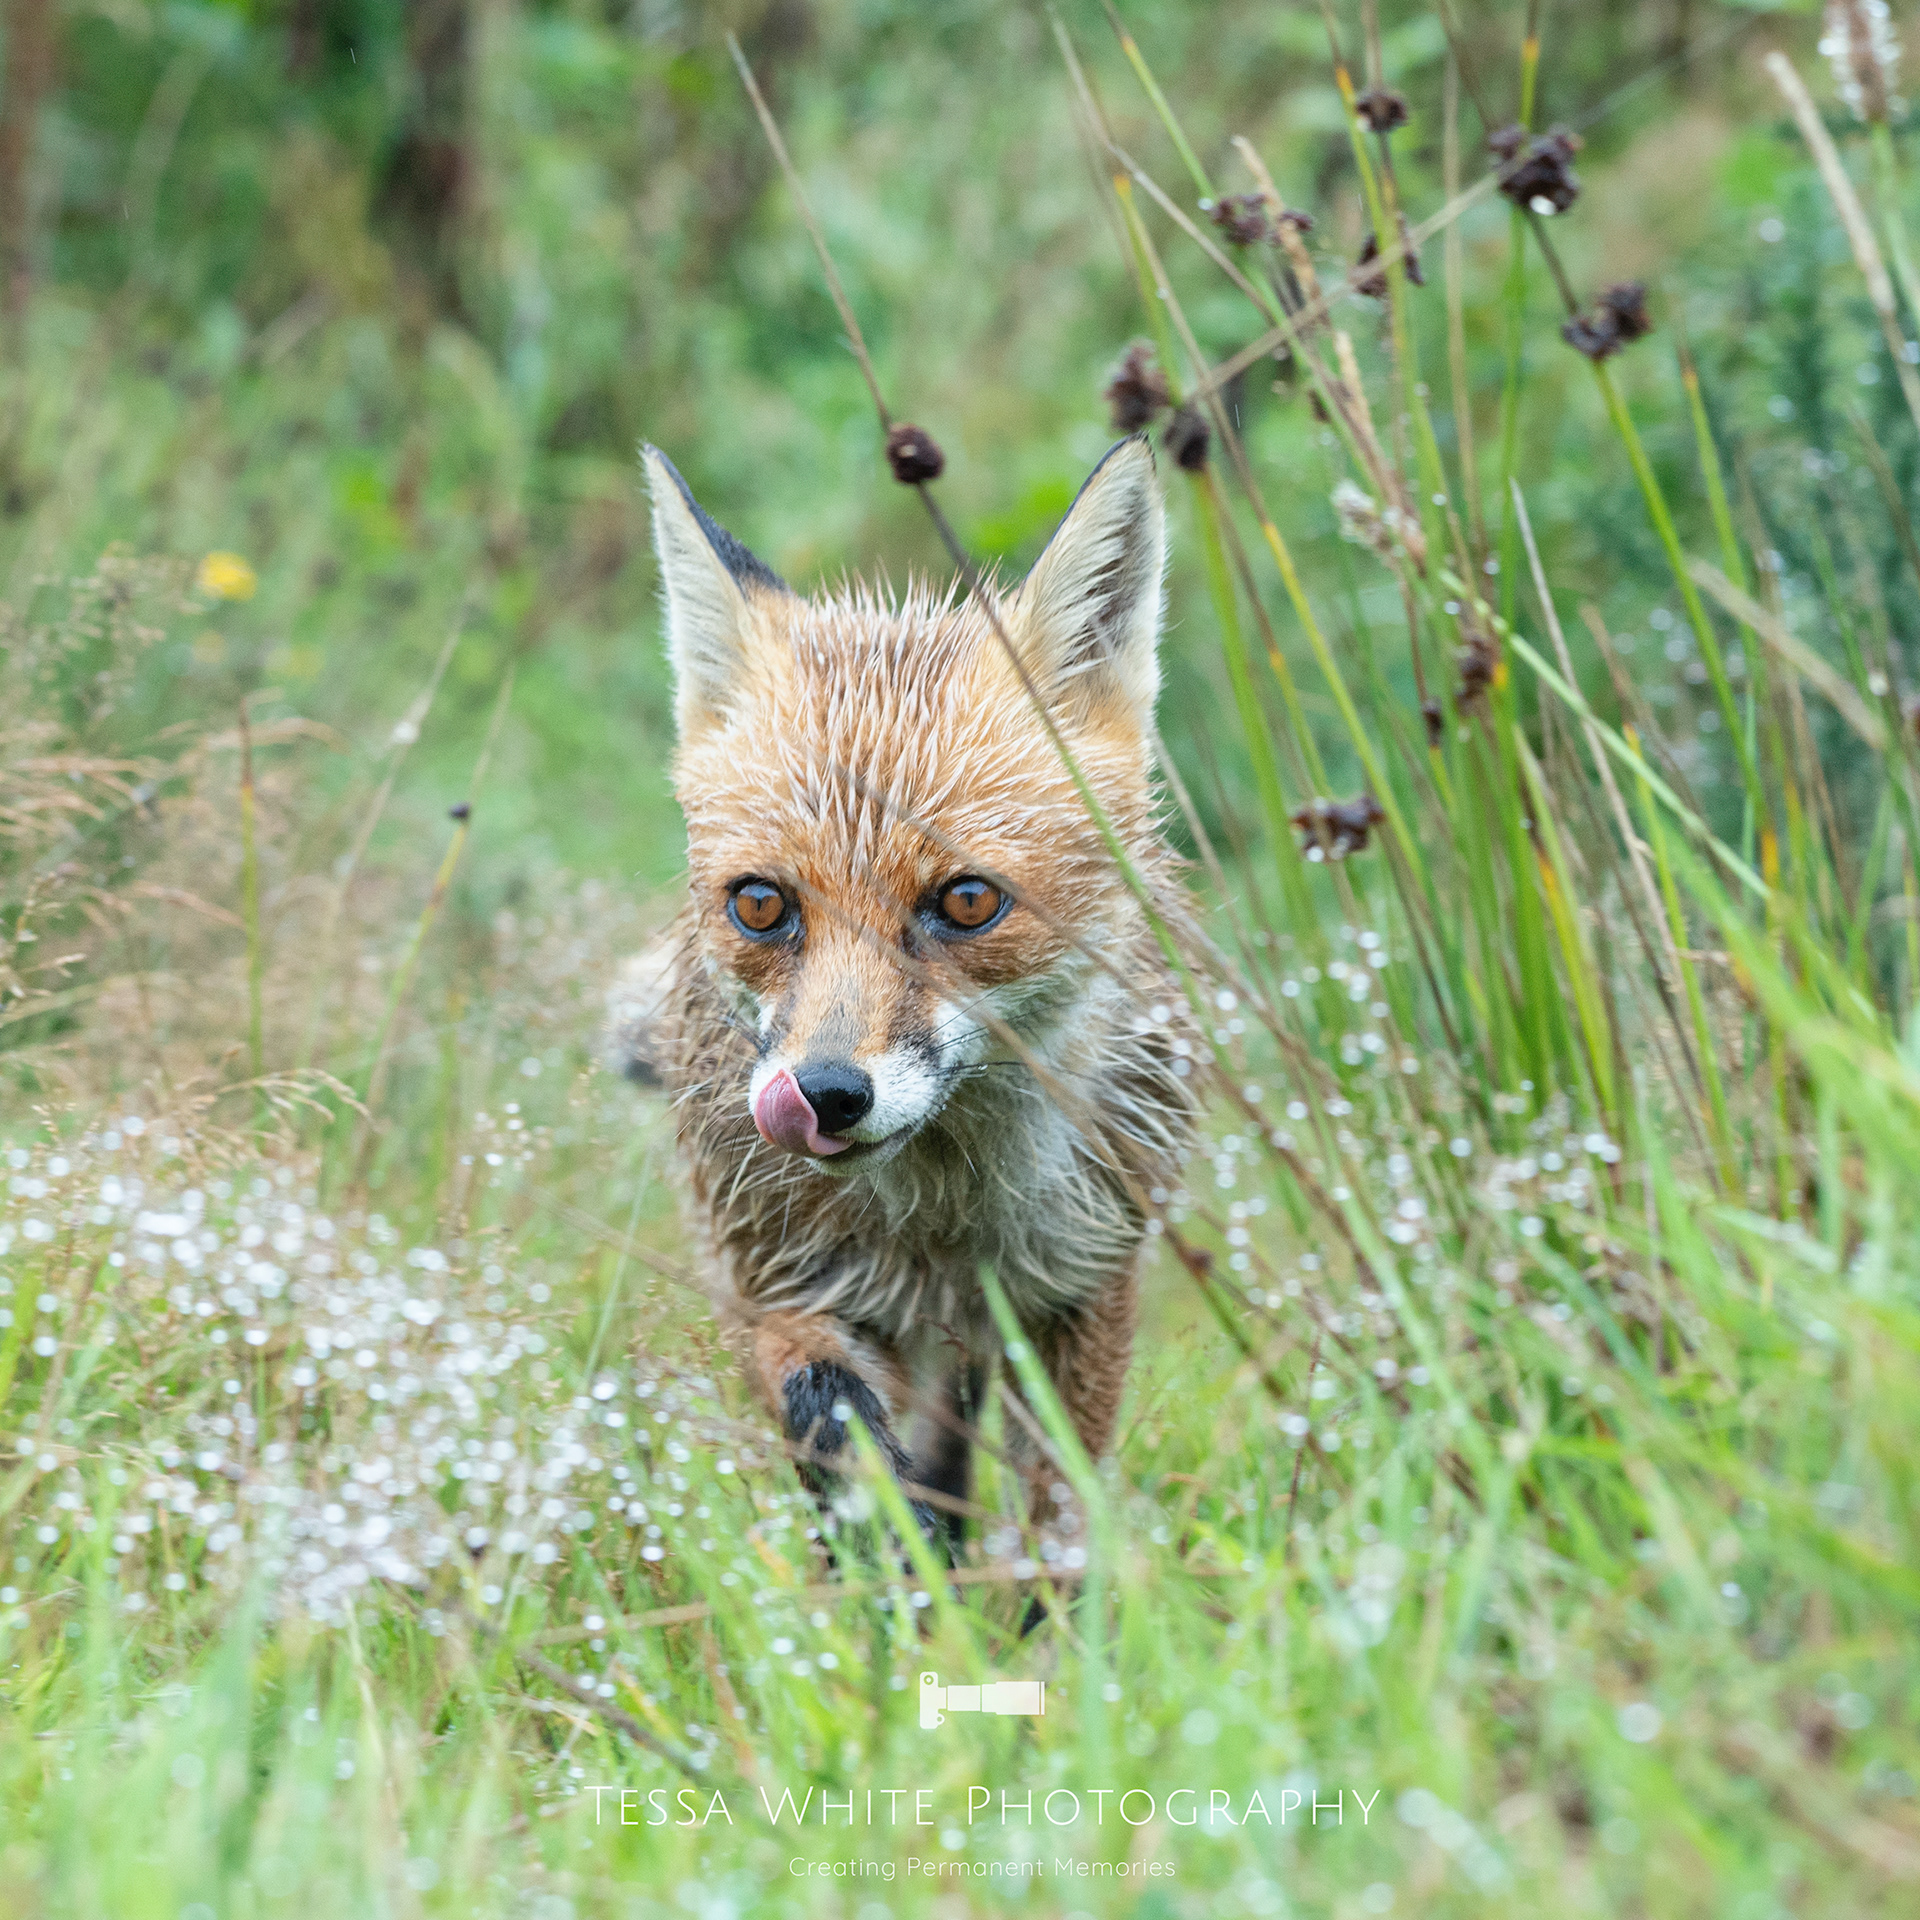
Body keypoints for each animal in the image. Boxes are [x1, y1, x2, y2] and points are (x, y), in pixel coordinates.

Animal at [626, 433, 1198, 1546]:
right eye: (760, 905)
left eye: (967, 901)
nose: (824, 1096)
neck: (945, 1224)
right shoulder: (767, 1280)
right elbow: (836, 1425)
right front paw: (894, 1552)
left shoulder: (1089, 1280)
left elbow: (1054, 1518)